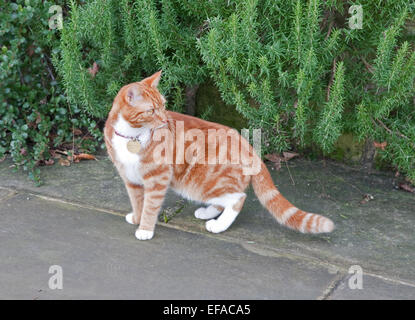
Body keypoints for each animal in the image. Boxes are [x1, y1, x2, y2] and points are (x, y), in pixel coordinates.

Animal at [104, 70, 334, 240]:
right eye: (151, 111)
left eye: (163, 105)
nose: (164, 120)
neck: (131, 136)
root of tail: (249, 146)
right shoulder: (131, 179)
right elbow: (138, 202)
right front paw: (137, 218)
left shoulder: (157, 179)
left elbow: (150, 206)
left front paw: (145, 229)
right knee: (225, 199)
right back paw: (207, 213)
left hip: (201, 183)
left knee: (238, 198)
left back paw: (219, 225)